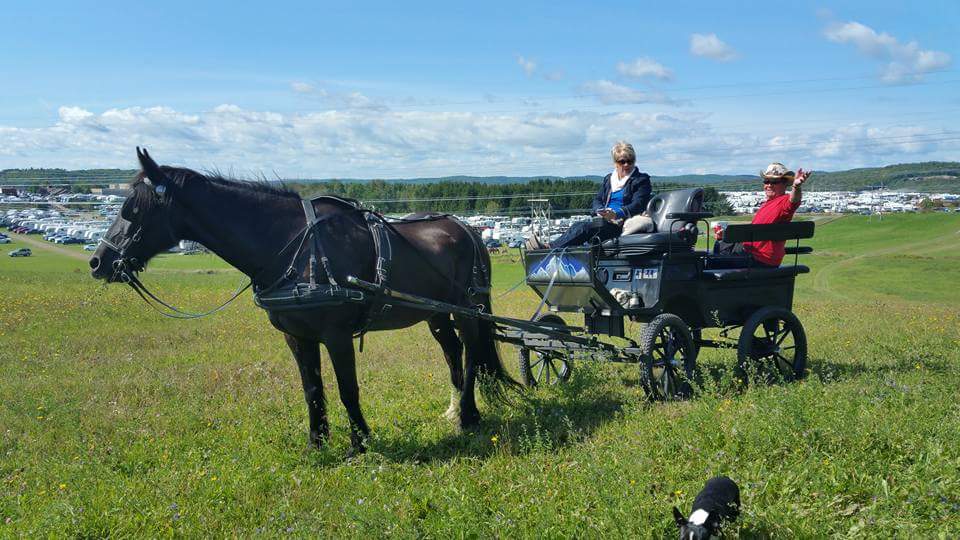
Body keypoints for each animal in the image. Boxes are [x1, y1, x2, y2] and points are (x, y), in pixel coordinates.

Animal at [88, 149, 516, 456]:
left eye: (131, 209)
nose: (99, 262)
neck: (298, 249)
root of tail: (465, 229)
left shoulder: (337, 335)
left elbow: (347, 388)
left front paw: (360, 443)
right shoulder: (297, 336)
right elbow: (312, 389)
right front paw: (317, 443)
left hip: (470, 310)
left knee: (472, 354)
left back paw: (469, 416)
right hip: (436, 314)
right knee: (453, 353)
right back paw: (453, 410)